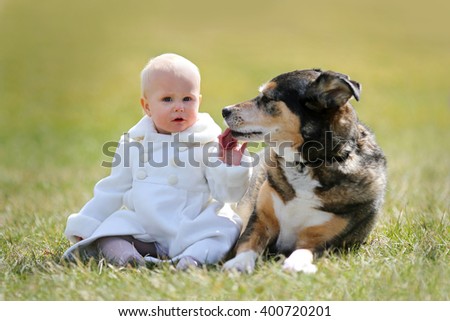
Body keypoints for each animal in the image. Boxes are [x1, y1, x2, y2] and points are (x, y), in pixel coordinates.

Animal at [222, 69, 386, 272]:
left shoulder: (320, 241)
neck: (305, 164)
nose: (224, 110)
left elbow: (302, 253)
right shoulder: (261, 220)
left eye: (268, 98)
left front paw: (294, 264)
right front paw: (239, 262)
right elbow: (248, 242)